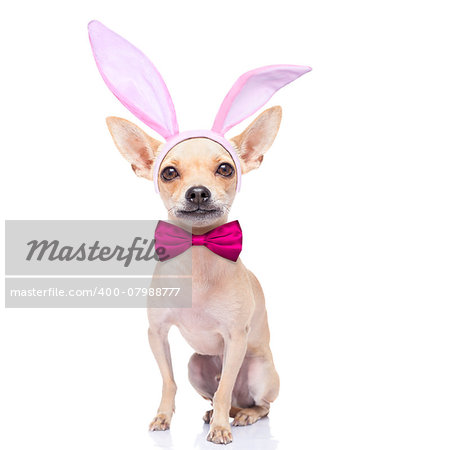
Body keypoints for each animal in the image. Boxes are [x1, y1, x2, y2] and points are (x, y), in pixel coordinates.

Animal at [106, 104, 282, 442]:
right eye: (169, 173)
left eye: (225, 169)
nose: (198, 192)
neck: (198, 250)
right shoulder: (157, 333)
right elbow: (168, 382)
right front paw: (163, 417)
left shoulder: (235, 338)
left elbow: (224, 388)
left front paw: (221, 430)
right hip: (195, 365)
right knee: (216, 395)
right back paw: (215, 413)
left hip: (260, 372)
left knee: (257, 404)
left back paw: (242, 415)